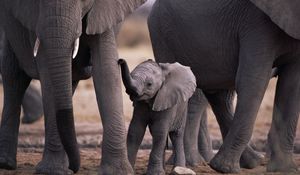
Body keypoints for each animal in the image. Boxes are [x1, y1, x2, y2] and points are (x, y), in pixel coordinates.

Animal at [0, 0, 145, 174]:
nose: (74, 167)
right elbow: (47, 74)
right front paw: (52, 171)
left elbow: (107, 71)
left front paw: (118, 171)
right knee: (14, 77)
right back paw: (6, 163)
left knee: (69, 79)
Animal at [148, 0, 300, 173]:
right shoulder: (256, 23)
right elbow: (253, 81)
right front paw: (224, 168)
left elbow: (292, 88)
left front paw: (284, 169)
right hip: (163, 34)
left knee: (217, 94)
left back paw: (252, 161)